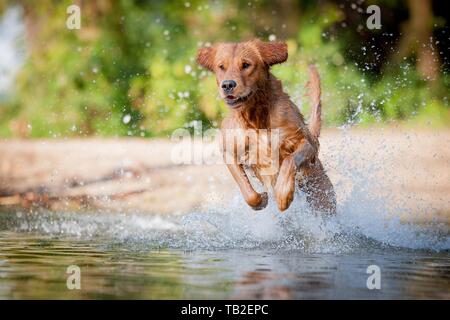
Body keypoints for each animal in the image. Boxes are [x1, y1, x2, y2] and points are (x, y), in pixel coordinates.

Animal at [195, 38, 336, 214]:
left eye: (246, 65)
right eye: (221, 66)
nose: (227, 85)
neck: (255, 118)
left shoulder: (306, 143)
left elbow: (290, 159)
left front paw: (283, 195)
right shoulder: (229, 151)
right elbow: (247, 190)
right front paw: (261, 199)